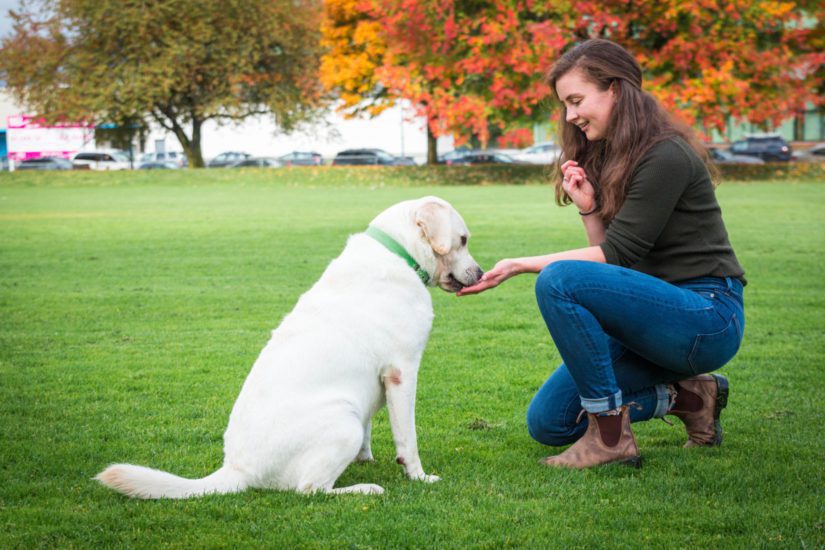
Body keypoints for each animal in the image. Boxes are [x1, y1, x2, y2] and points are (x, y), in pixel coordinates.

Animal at [95, 197, 482, 500]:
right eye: (462, 240)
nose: (479, 273)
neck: (400, 254)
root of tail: (237, 468)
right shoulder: (402, 371)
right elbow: (408, 438)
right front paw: (418, 476)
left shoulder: (380, 382)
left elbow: (372, 427)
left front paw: (366, 459)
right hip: (343, 422)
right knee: (309, 489)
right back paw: (364, 489)